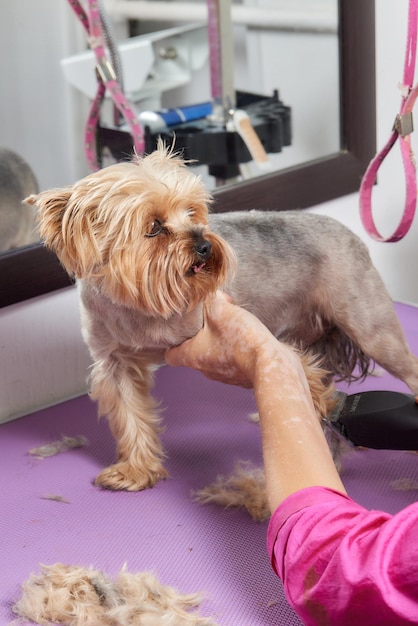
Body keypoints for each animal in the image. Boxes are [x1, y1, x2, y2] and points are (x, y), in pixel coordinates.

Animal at [25, 144, 418, 490]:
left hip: (370, 323)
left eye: (192, 213)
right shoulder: (116, 361)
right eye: (153, 226)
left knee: (404, 364)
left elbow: (297, 365)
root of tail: (351, 232)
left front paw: (321, 401)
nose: (204, 245)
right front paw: (136, 471)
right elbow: (130, 415)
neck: (140, 301)